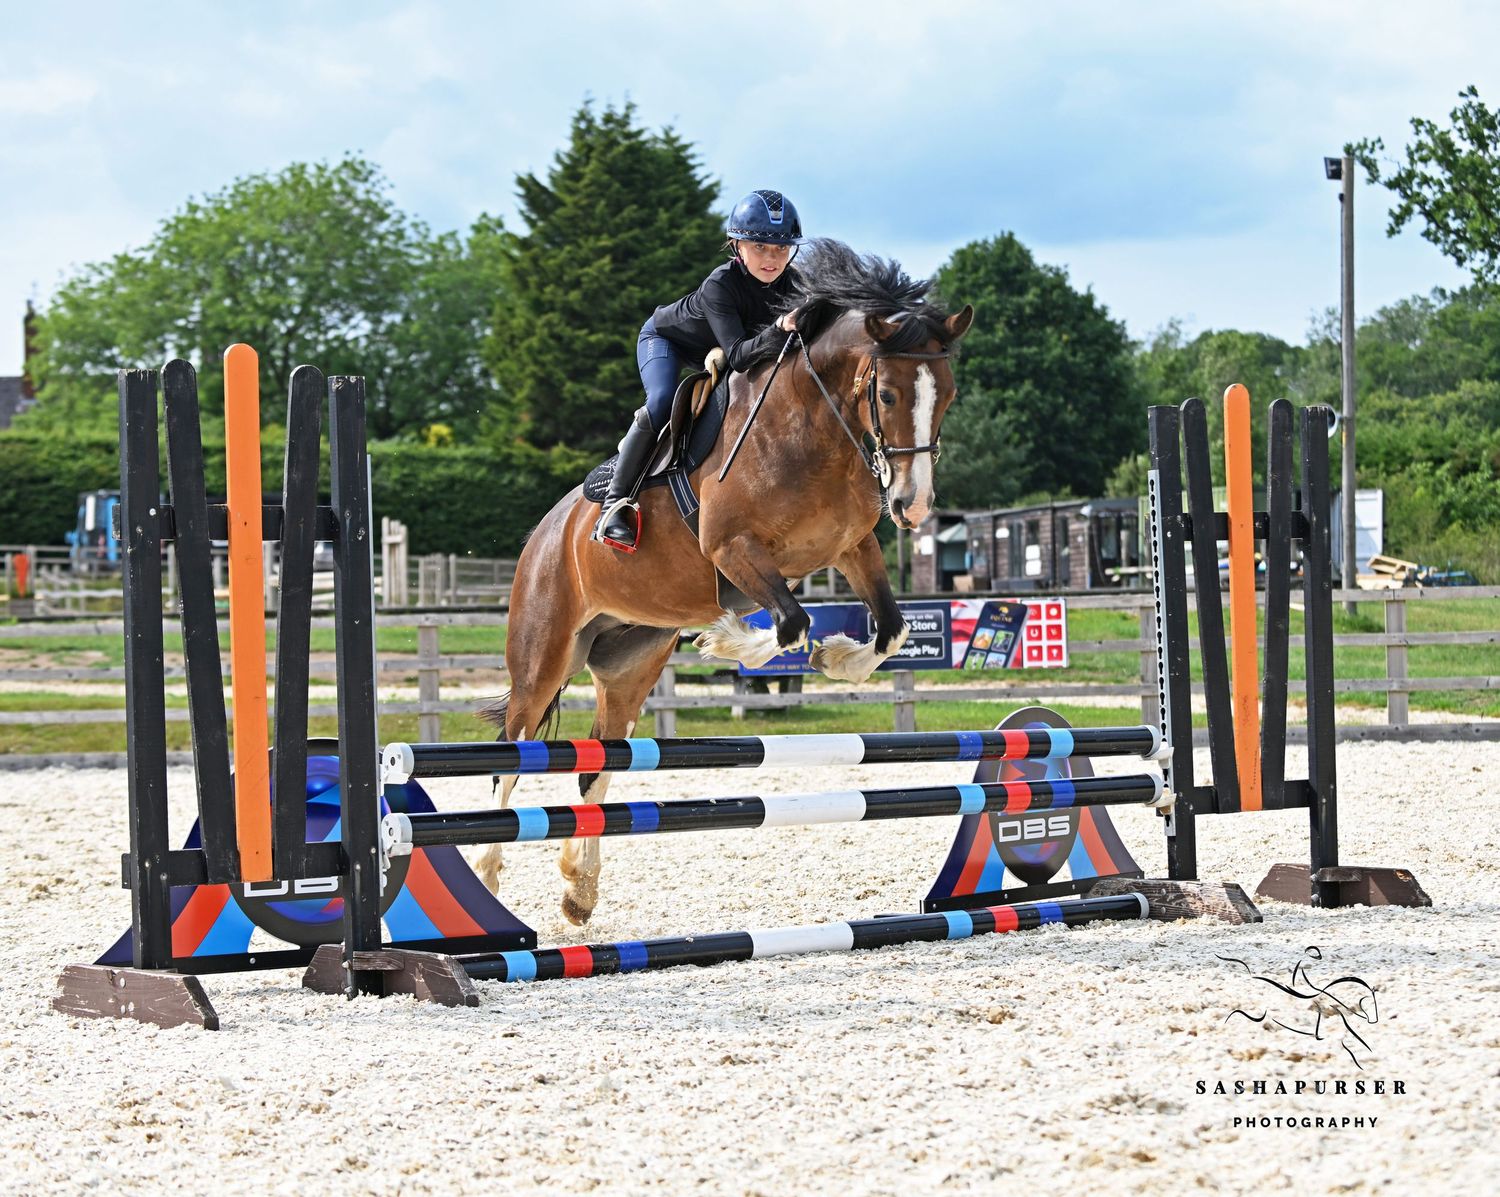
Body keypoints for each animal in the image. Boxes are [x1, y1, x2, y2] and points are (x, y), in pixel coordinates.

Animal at [476, 239, 973, 924]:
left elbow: (891, 630)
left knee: (597, 761)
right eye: (892, 396)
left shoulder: (851, 547)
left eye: (946, 396)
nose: (913, 506)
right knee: (511, 755)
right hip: (544, 654)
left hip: (630, 662)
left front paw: (838, 660)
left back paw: (580, 890)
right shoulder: (733, 551)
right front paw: (726, 637)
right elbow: (790, 622)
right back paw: (487, 875)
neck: (812, 424)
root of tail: (547, 531)